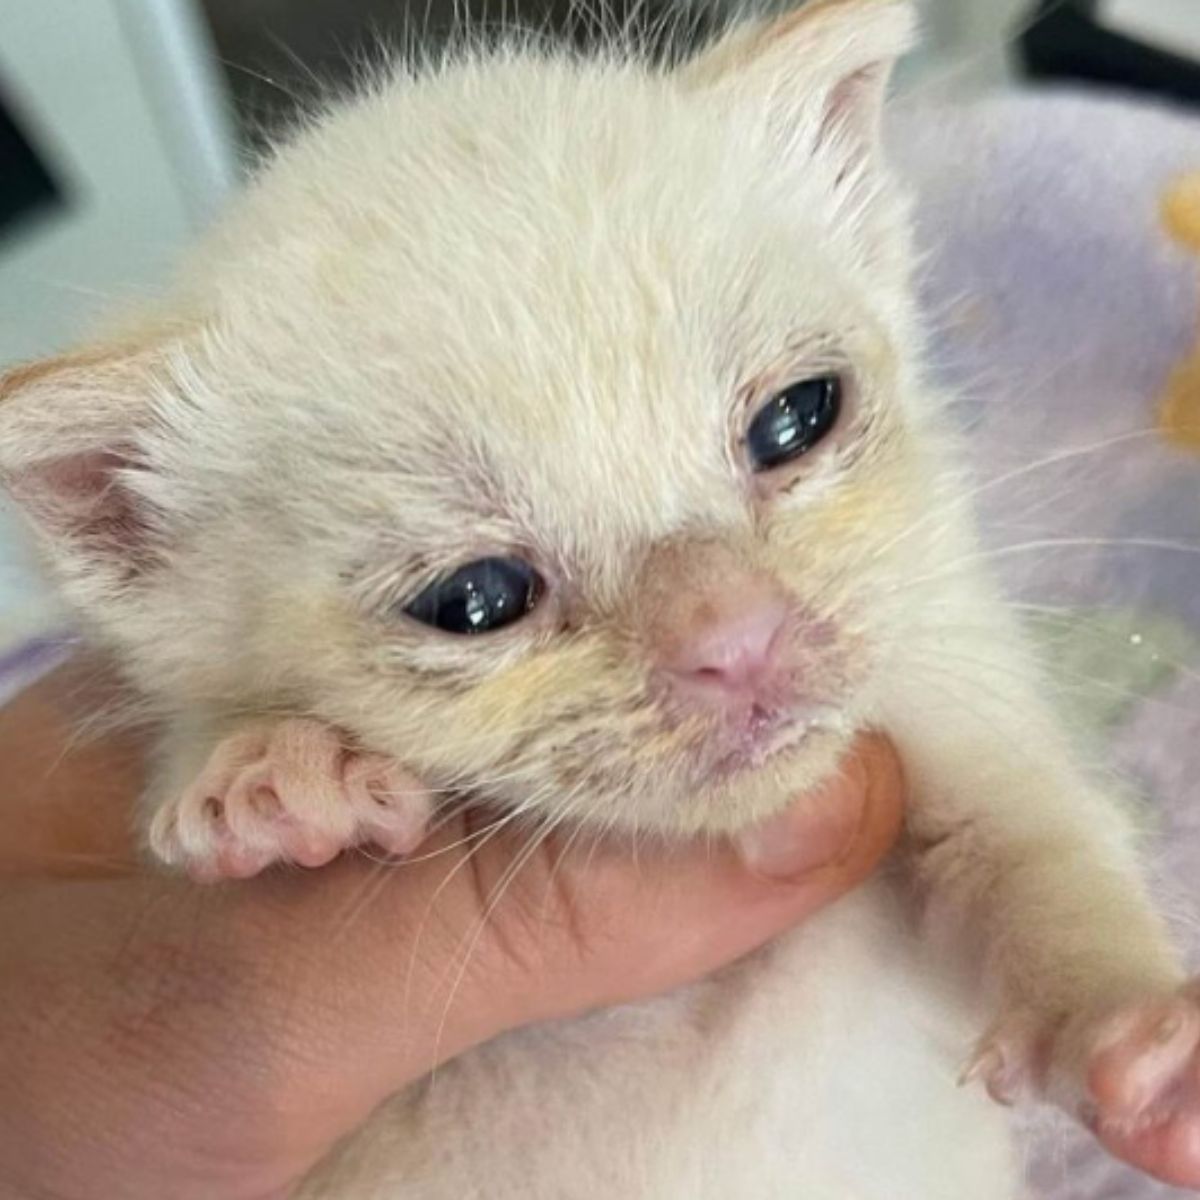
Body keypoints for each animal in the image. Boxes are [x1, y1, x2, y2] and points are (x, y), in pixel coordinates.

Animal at [2, 2, 1200, 1190]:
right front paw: (276, 769)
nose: (739, 638)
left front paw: (1135, 1036)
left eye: (796, 418)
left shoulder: (952, 697)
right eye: (476, 599)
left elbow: (1034, 856)